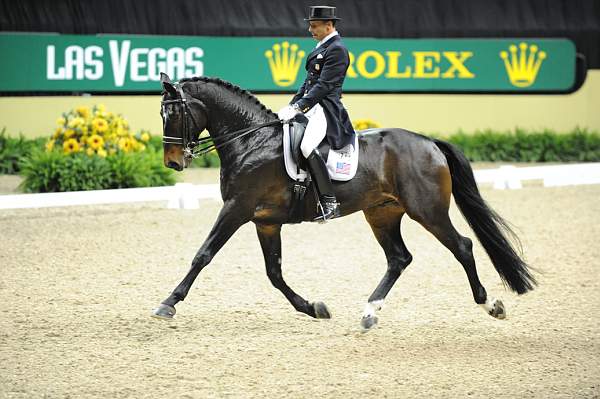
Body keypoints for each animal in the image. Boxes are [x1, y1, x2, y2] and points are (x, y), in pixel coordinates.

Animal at [152, 73, 536, 332]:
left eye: (174, 114)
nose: (173, 163)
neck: (251, 141)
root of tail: (429, 142)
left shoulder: (237, 208)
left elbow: (203, 255)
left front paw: (168, 304)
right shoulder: (266, 221)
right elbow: (274, 273)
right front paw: (314, 308)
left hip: (427, 211)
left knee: (463, 246)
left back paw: (491, 305)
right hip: (381, 213)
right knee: (399, 258)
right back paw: (369, 313)